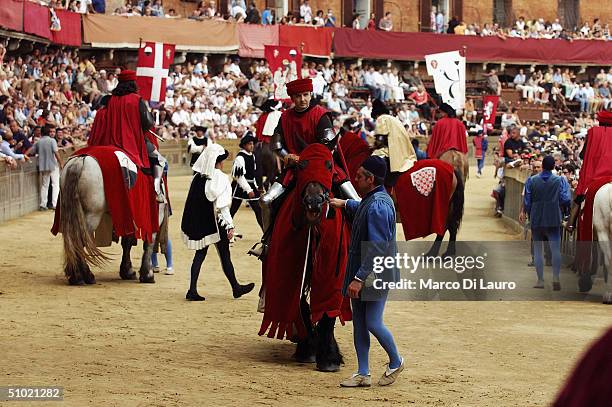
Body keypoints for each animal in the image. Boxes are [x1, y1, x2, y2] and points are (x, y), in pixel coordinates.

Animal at [55, 155, 163, 286]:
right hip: (92, 214)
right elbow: (148, 242)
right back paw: (83, 276)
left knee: (72, 239)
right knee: (80, 240)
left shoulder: (127, 218)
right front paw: (147, 274)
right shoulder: (154, 215)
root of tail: (79, 161)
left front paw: (127, 271)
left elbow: (127, 241)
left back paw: (75, 274)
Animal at [260, 143, 350, 372]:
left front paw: (329, 358)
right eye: (301, 165)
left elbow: (328, 308)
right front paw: (308, 347)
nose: (314, 202)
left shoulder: (333, 271)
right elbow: (299, 304)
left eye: (329, 165)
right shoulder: (290, 269)